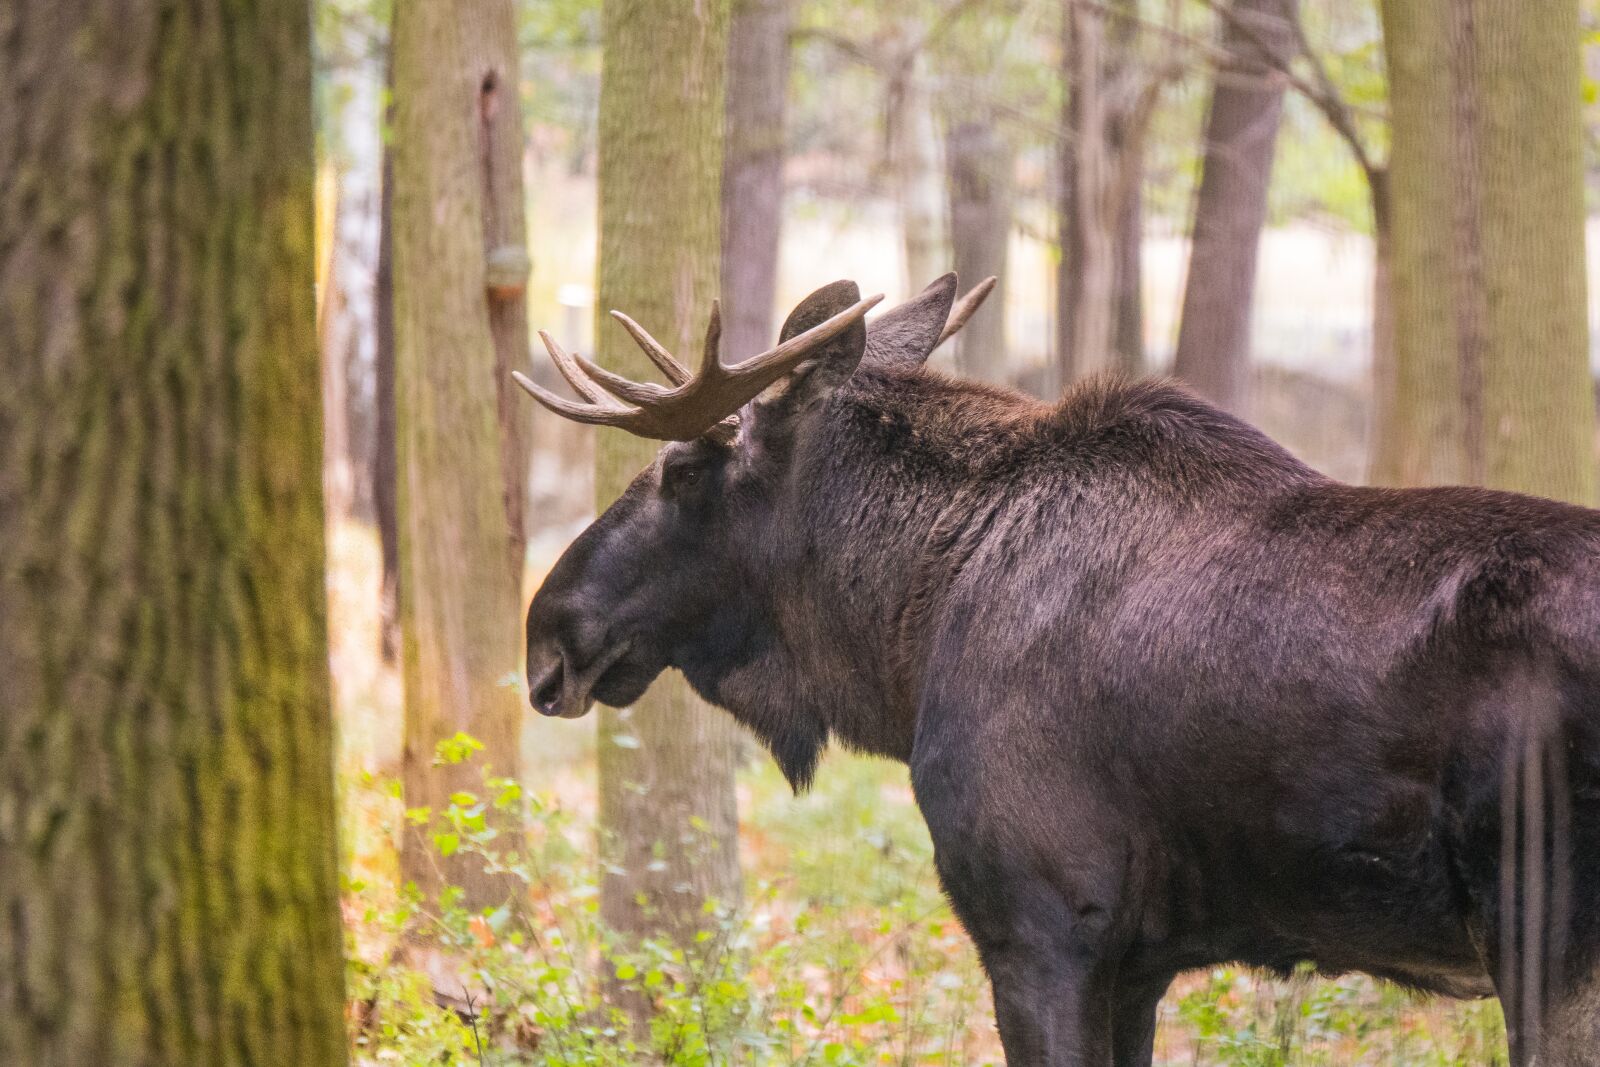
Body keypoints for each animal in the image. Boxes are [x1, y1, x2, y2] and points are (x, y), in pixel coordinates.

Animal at [515, 274, 1600, 1066]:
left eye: (683, 468)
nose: (547, 632)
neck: (906, 637)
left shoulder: (1040, 925)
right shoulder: (1137, 959)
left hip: (1544, 935)